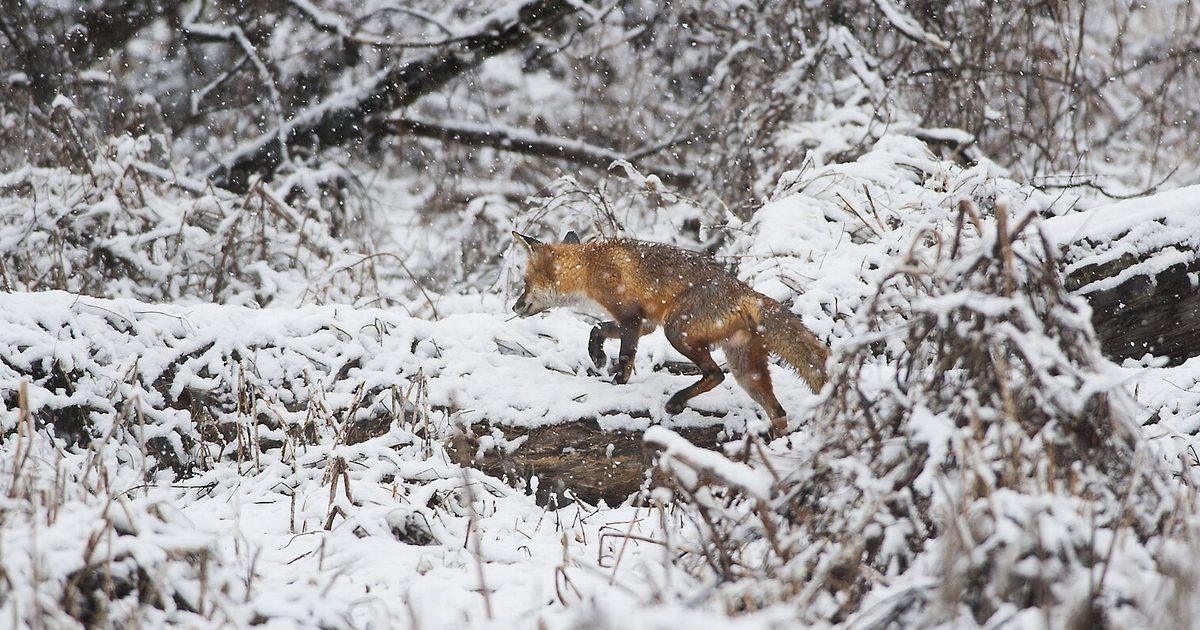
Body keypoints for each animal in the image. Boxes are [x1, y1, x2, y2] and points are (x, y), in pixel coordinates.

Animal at [510, 230, 829, 433]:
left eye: (525, 282)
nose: (515, 306)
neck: (589, 267)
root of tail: (746, 292)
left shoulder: (630, 317)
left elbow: (625, 356)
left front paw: (617, 383)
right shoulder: (645, 323)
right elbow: (597, 329)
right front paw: (597, 356)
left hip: (678, 332)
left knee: (716, 374)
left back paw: (677, 401)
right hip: (745, 371)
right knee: (778, 412)